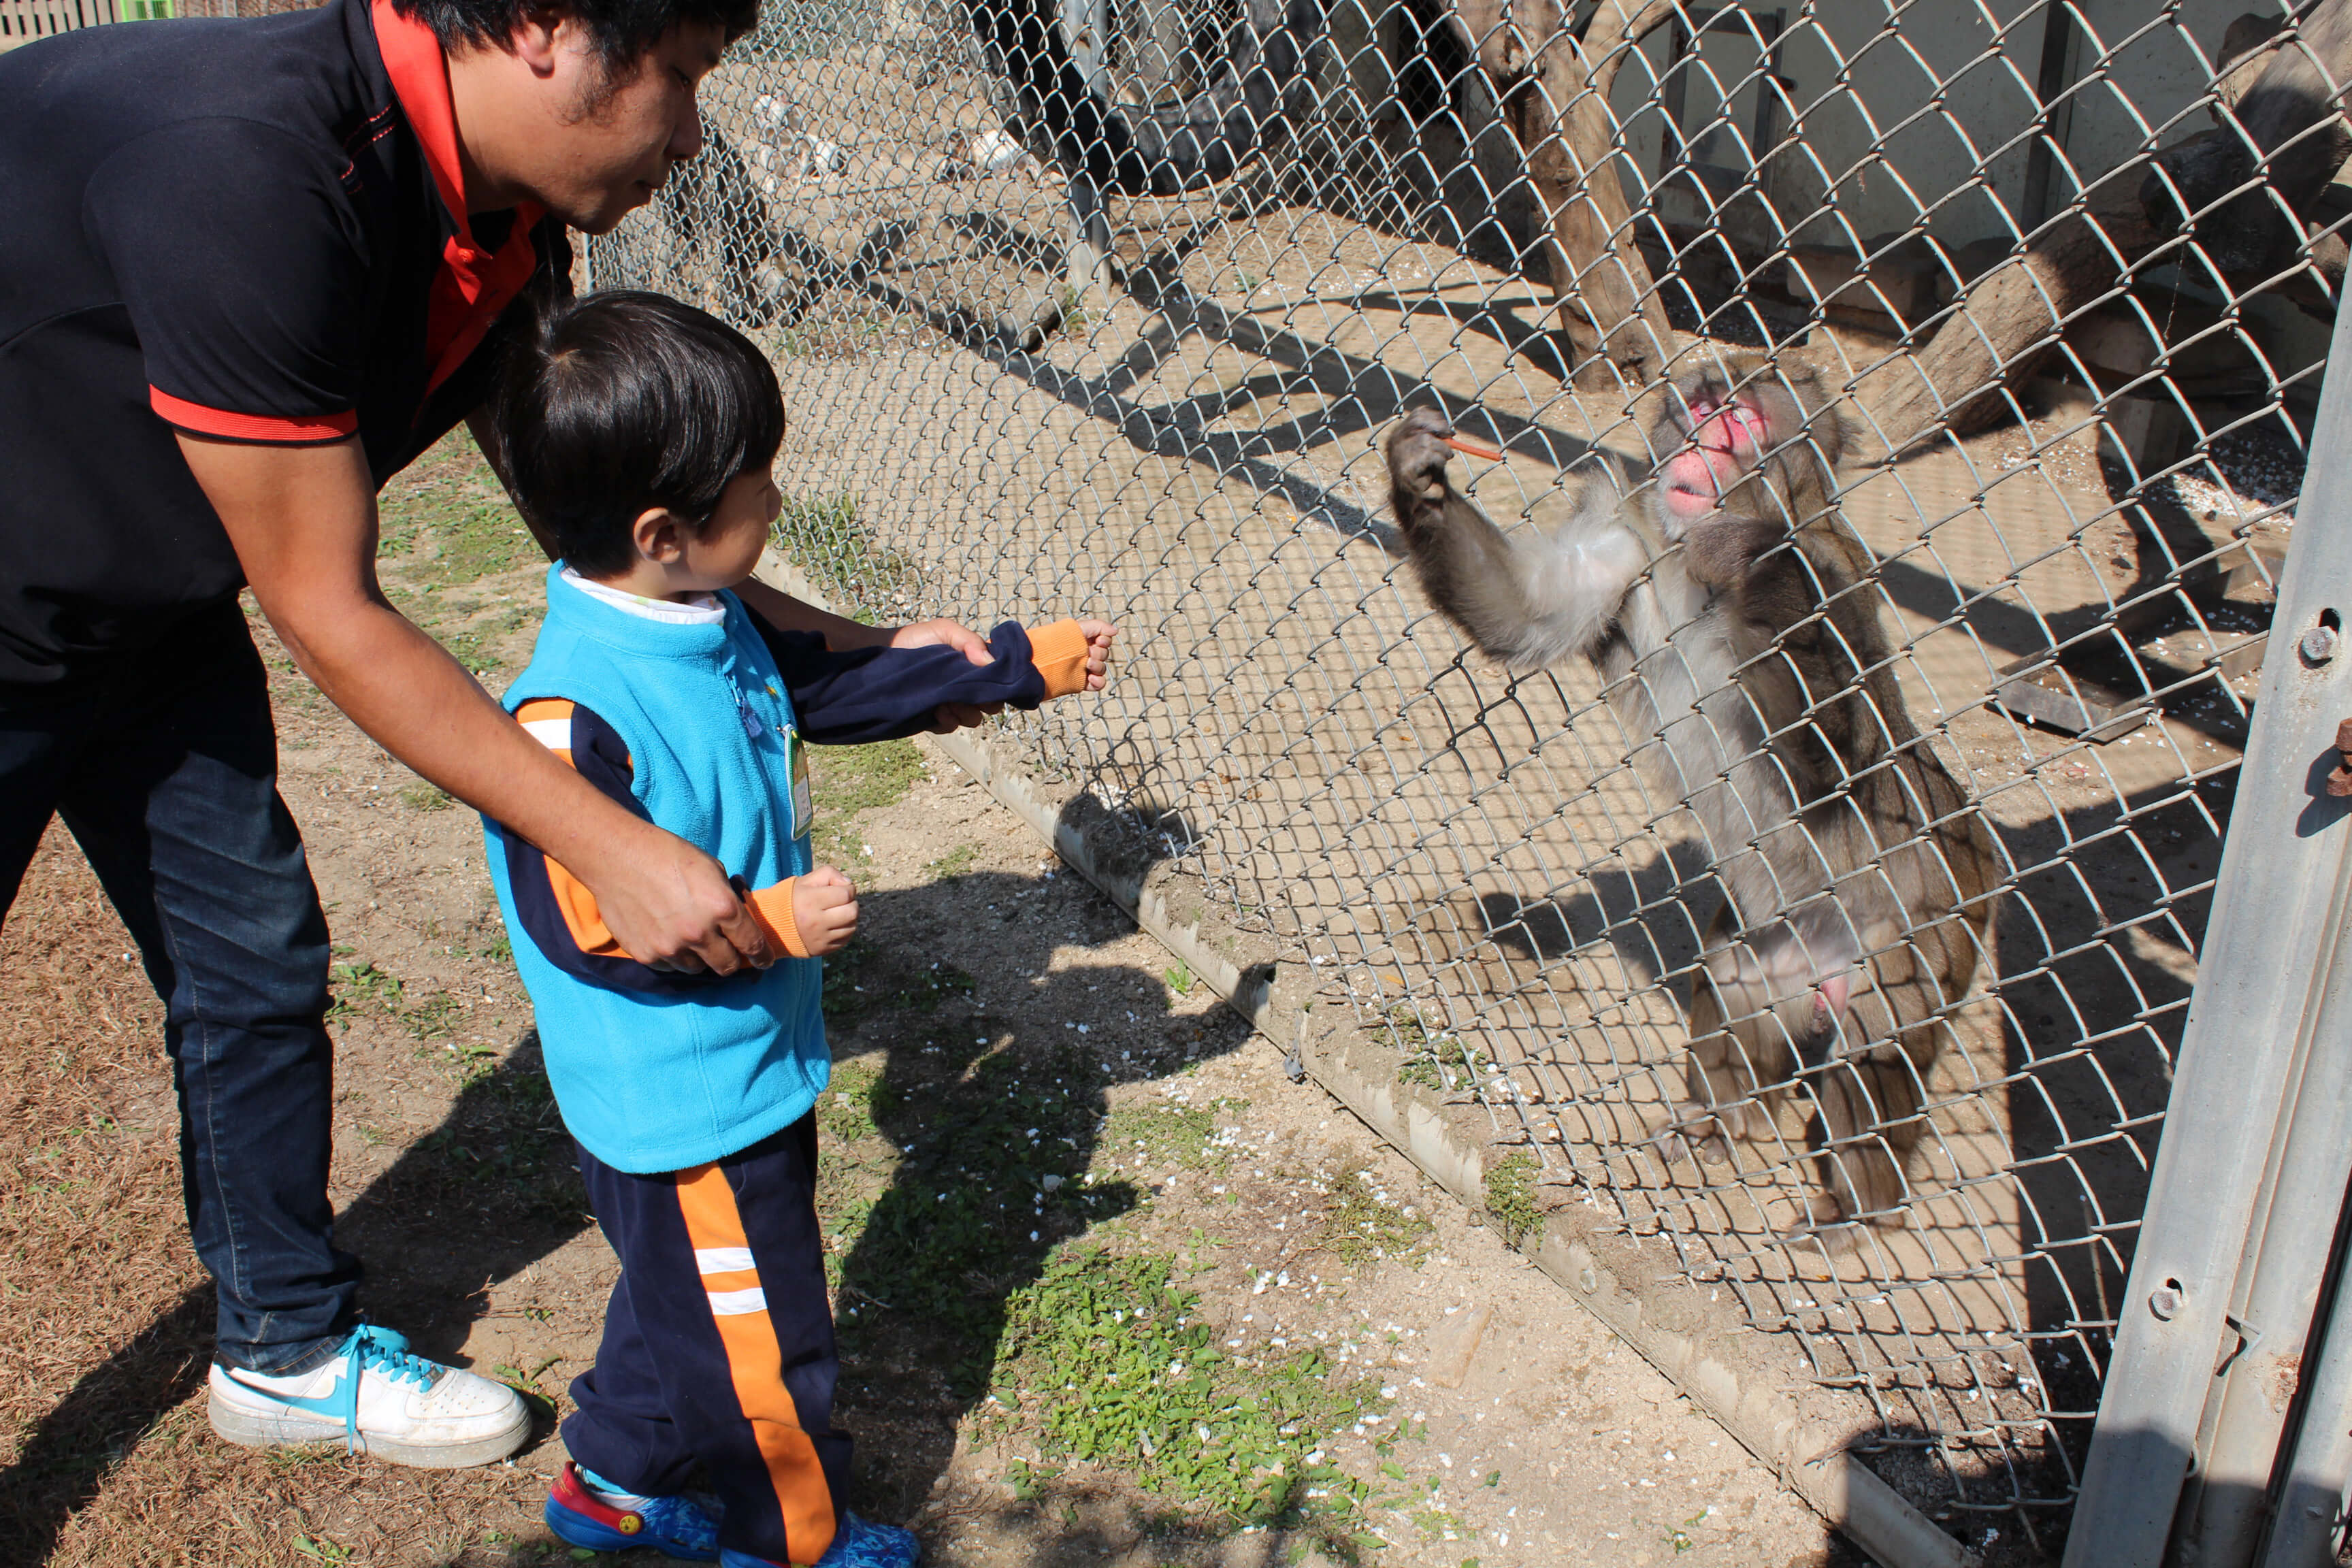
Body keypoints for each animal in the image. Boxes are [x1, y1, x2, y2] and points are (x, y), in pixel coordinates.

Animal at [1383, 359, 1994, 1250]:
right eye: (1704, 407)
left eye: (1742, 421)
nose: (1703, 445)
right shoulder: (1633, 537)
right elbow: (1533, 610)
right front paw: (1420, 476)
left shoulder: (1836, 573)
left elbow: (1836, 759)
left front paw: (1753, 554)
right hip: (1784, 947)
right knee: (1736, 981)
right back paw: (1722, 1120)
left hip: (1925, 933)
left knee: (1877, 1045)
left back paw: (1861, 1207)